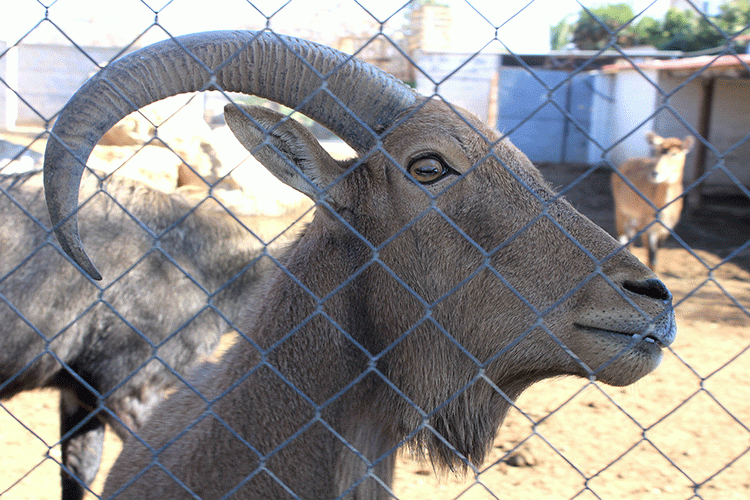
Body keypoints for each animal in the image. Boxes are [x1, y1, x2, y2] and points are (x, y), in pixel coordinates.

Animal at [611, 131, 695, 270]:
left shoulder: (666, 230)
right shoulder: (647, 227)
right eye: (657, 151)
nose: (655, 173)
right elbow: (651, 257)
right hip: (620, 212)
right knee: (622, 236)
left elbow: (655, 257)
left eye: (674, 153)